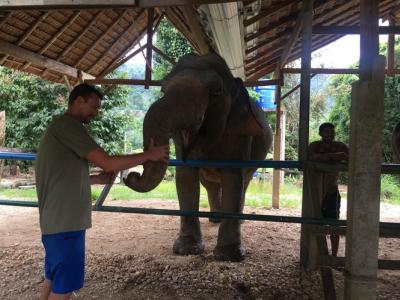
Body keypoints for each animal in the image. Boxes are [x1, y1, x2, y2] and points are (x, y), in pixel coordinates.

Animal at [125, 52, 274, 262]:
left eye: (216, 92)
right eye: (162, 89)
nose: (131, 176)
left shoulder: (240, 134)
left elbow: (233, 177)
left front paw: (229, 256)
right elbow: (185, 175)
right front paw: (185, 250)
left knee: (243, 183)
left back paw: (239, 220)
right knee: (211, 185)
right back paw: (215, 219)